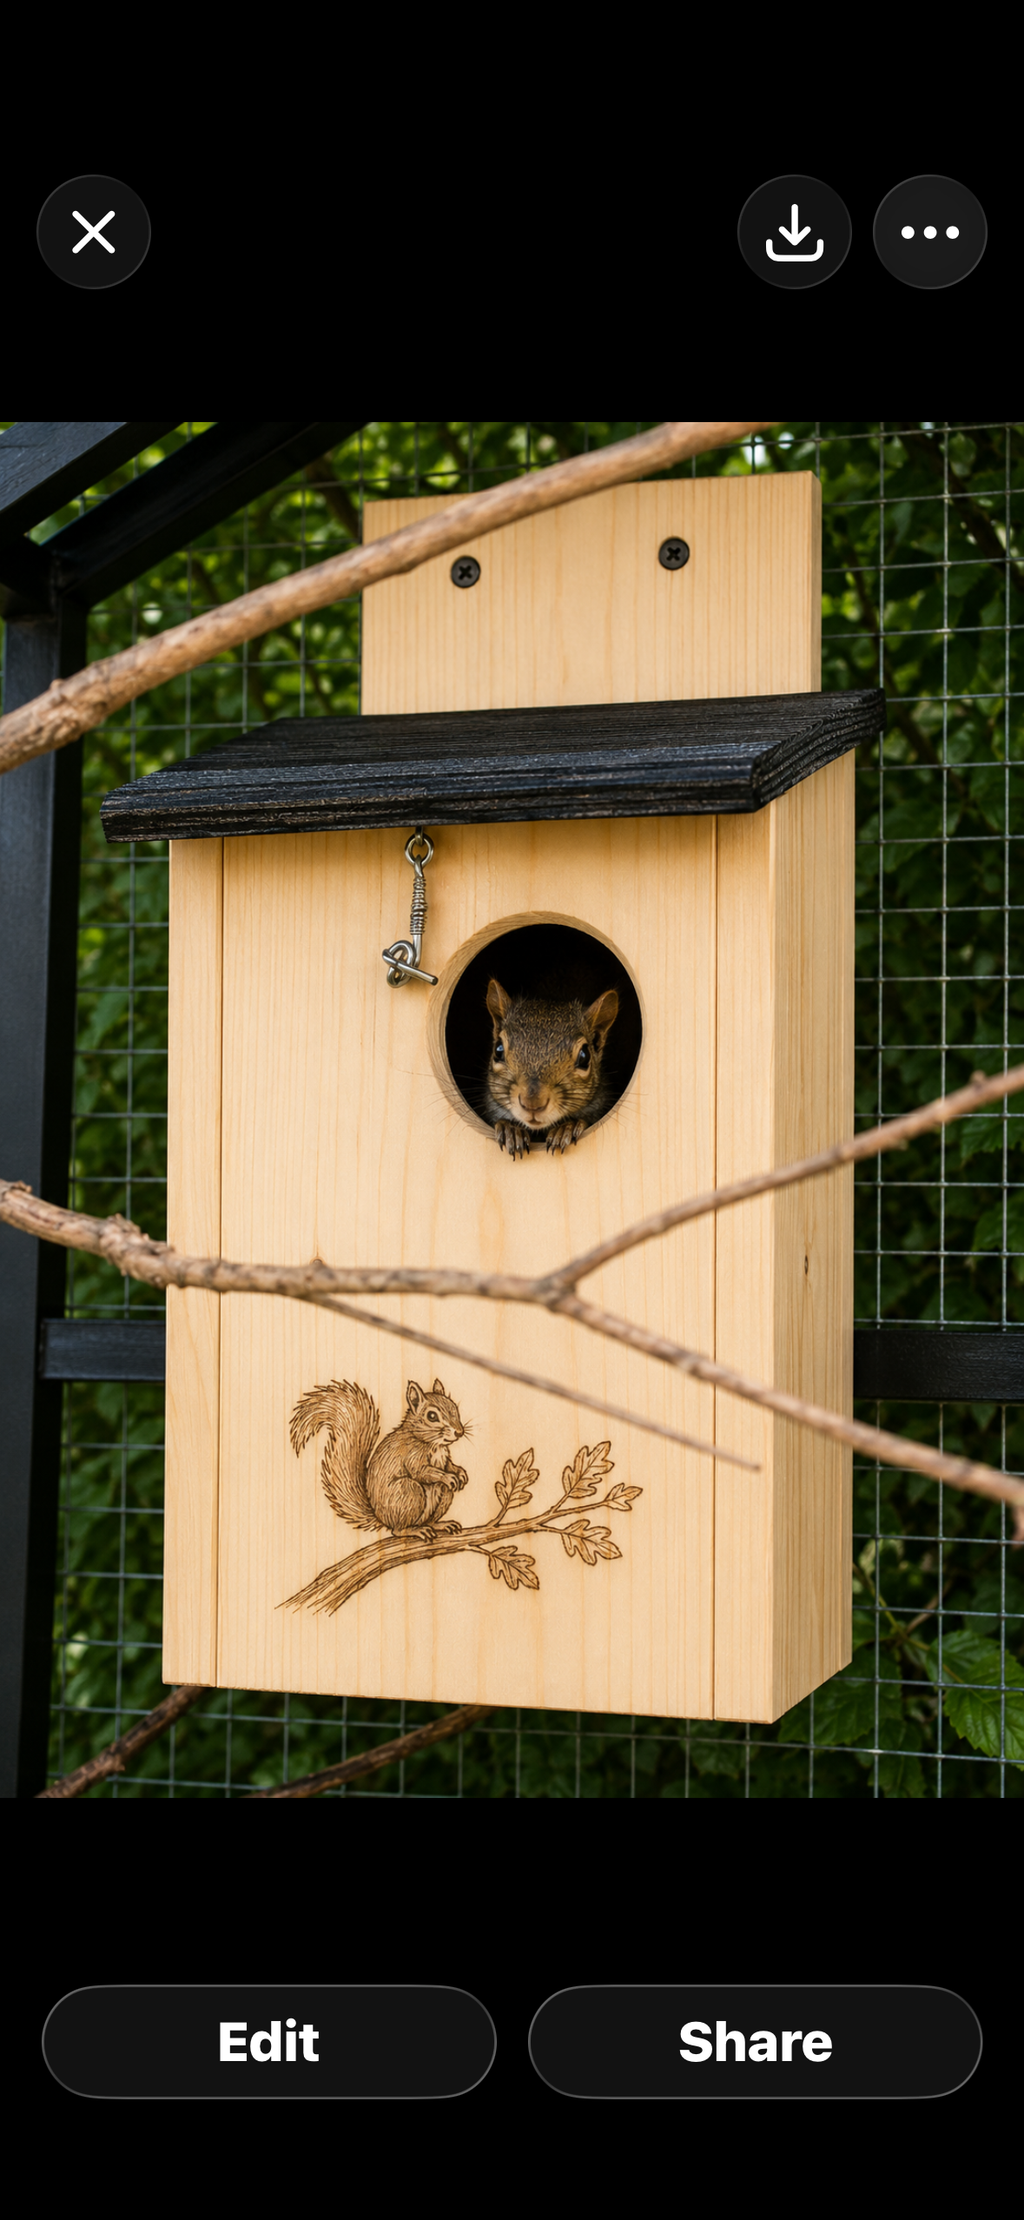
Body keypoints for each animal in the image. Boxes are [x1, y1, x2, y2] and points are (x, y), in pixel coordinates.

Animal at [290, 1377, 469, 1537]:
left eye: (455, 1408)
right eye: (432, 1416)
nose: (459, 1432)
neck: (434, 1444)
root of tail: (380, 1517)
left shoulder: (444, 1456)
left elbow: (449, 1465)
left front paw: (460, 1473)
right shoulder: (411, 1455)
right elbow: (422, 1472)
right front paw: (447, 1477)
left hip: (443, 1496)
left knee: (430, 1518)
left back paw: (440, 1525)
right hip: (408, 1492)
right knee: (397, 1530)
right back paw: (414, 1530)